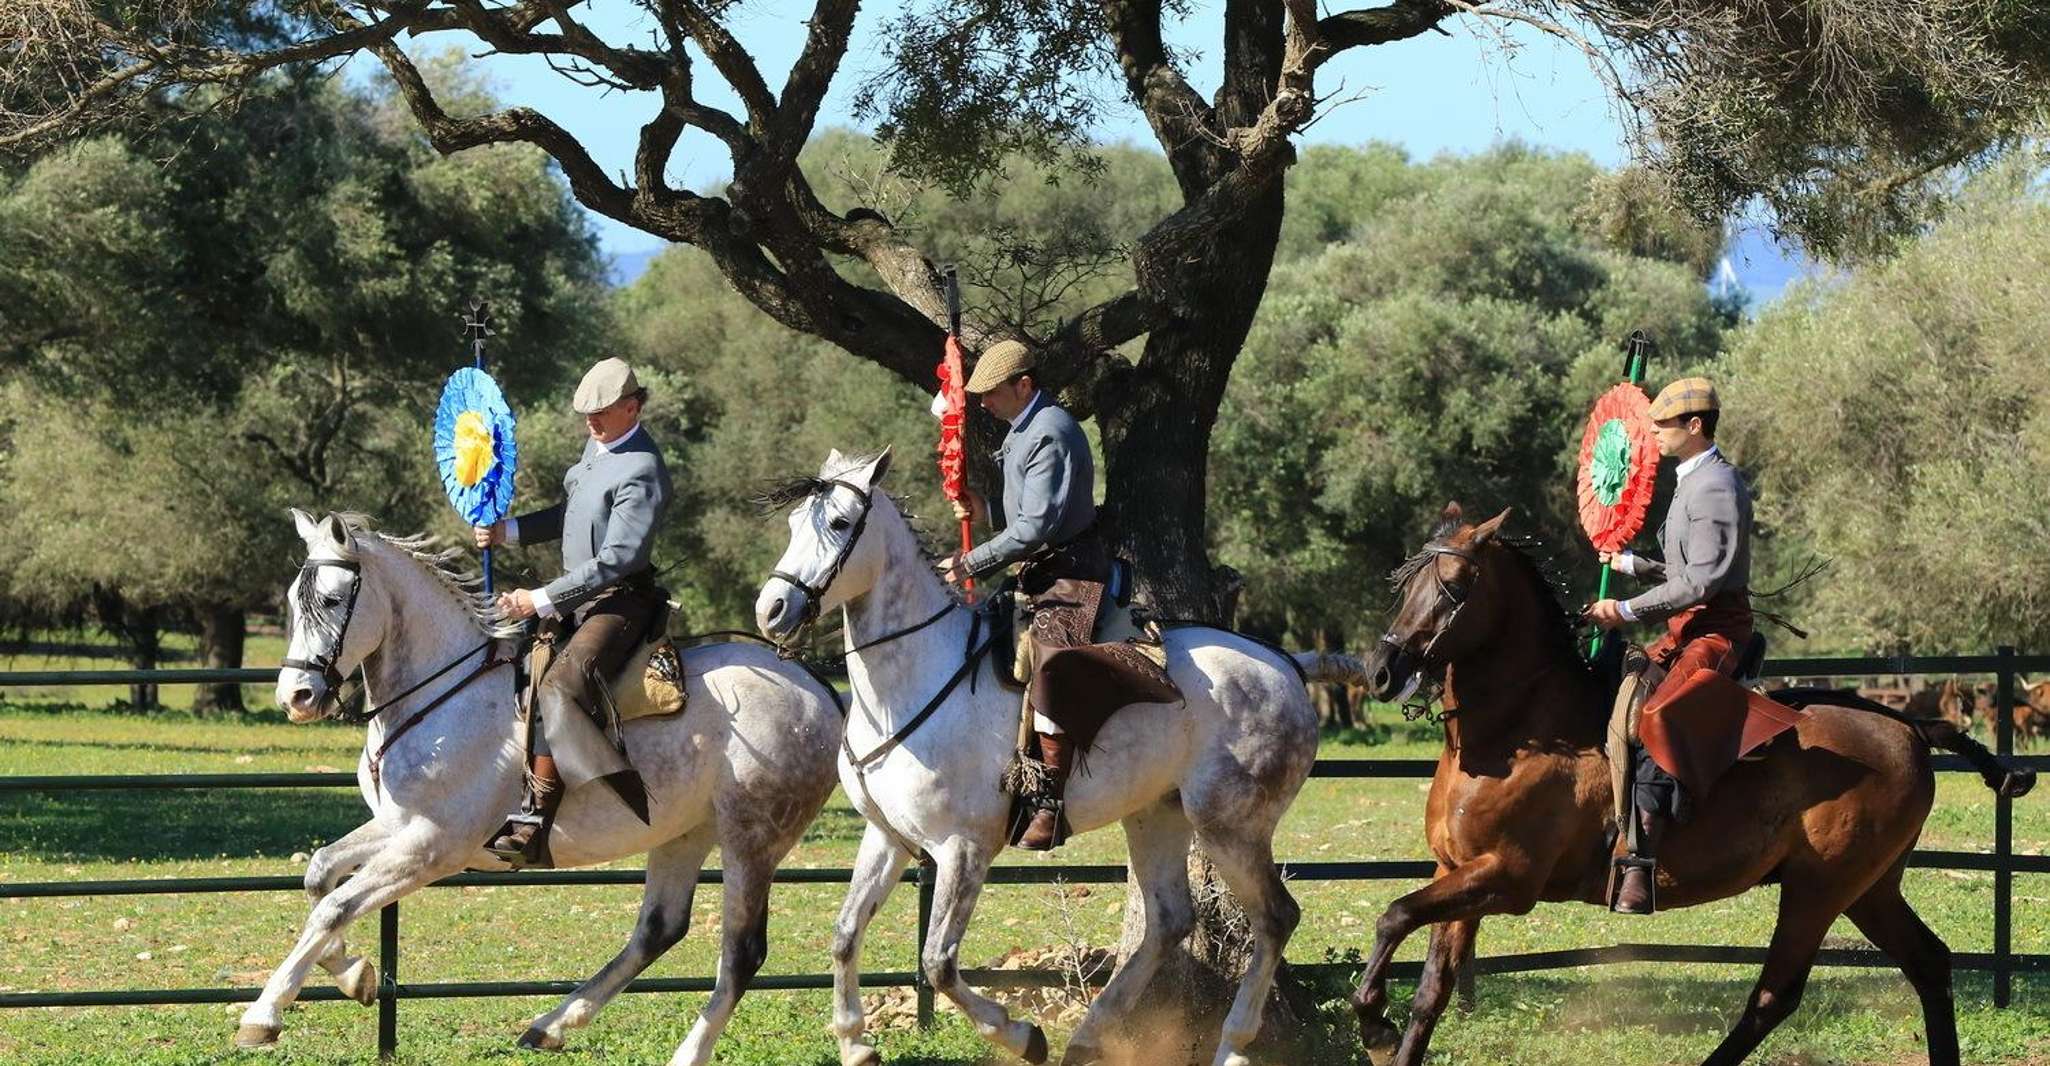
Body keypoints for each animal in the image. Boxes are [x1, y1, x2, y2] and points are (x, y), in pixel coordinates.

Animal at [240, 510, 843, 1065]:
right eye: (294, 599)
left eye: (333, 600)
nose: (296, 697)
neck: (444, 695)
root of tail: (815, 684)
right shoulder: (396, 826)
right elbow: (320, 875)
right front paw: (354, 974)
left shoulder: (432, 846)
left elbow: (334, 906)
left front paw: (264, 1014)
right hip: (683, 833)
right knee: (659, 929)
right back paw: (551, 1025)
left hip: (752, 841)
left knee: (741, 955)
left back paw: (683, 1052)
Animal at [753, 449, 1347, 1066]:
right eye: (794, 523)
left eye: (840, 522)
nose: (771, 610)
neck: (915, 677)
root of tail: (1287, 665)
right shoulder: (887, 835)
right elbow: (846, 934)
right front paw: (854, 1043)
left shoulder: (963, 849)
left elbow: (938, 962)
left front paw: (1019, 1034)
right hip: (1157, 814)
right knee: (1169, 920)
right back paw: (1088, 1036)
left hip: (1230, 825)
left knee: (1275, 917)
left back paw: (1230, 1044)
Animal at [1346, 503, 2035, 1066]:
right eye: (1404, 582)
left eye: (1456, 585)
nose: (1381, 671)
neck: (1519, 730)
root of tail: (1907, 724)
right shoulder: (1456, 872)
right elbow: (1431, 990)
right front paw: (1391, 1034)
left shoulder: (1507, 878)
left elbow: (1392, 915)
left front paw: (1374, 1026)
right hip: (1869, 889)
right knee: (1929, 963)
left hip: (1819, 889)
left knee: (1775, 996)